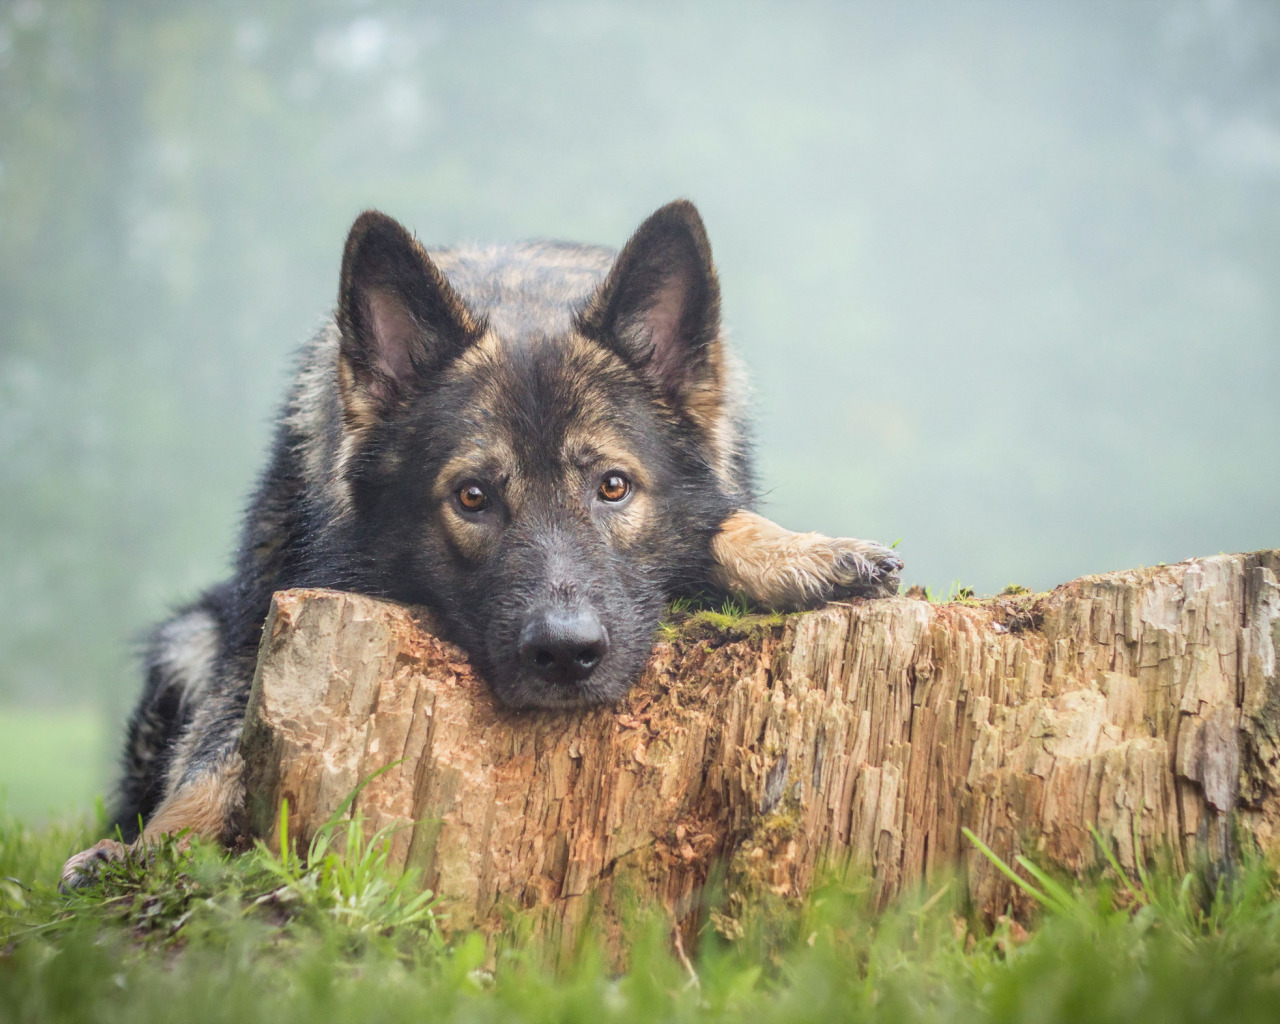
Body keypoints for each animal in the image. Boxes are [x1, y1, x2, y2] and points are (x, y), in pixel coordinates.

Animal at [60, 199, 901, 885]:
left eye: (614, 487)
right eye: (472, 498)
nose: (566, 654)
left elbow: (727, 520)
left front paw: (798, 551)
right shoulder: (254, 633)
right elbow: (212, 758)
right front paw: (151, 849)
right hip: (186, 639)